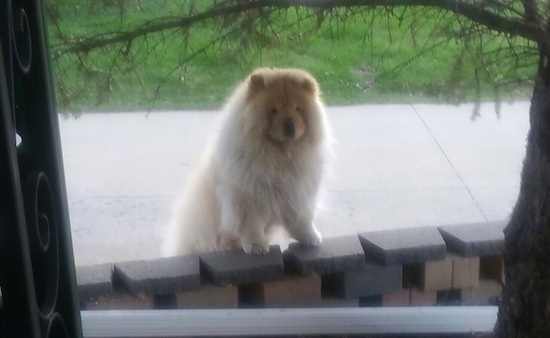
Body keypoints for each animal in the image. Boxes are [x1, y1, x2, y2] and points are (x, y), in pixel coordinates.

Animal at [164, 67, 332, 255]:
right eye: (273, 110)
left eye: (298, 109)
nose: (289, 124)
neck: (281, 156)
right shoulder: (246, 199)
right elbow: (251, 226)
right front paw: (256, 246)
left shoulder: (298, 193)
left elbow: (302, 220)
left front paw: (310, 237)